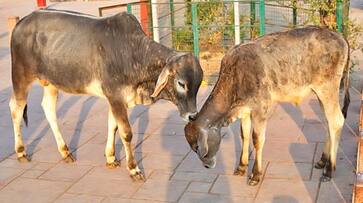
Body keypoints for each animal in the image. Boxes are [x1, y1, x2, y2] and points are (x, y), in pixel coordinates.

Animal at [9, 9, 205, 181]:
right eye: (181, 83)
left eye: (198, 84)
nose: (192, 115)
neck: (132, 53)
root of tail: (21, 22)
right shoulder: (116, 96)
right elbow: (126, 133)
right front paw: (133, 169)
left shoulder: (115, 99)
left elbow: (113, 126)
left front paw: (110, 158)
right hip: (21, 77)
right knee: (16, 108)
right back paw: (21, 152)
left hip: (51, 83)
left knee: (48, 109)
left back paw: (65, 152)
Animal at [186, 26, 352, 186]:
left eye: (197, 147)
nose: (206, 165)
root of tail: (339, 36)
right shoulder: (245, 110)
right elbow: (244, 135)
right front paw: (241, 166)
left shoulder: (261, 109)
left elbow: (257, 139)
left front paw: (255, 175)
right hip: (321, 94)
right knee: (328, 122)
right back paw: (322, 160)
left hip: (327, 89)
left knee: (336, 121)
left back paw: (329, 170)